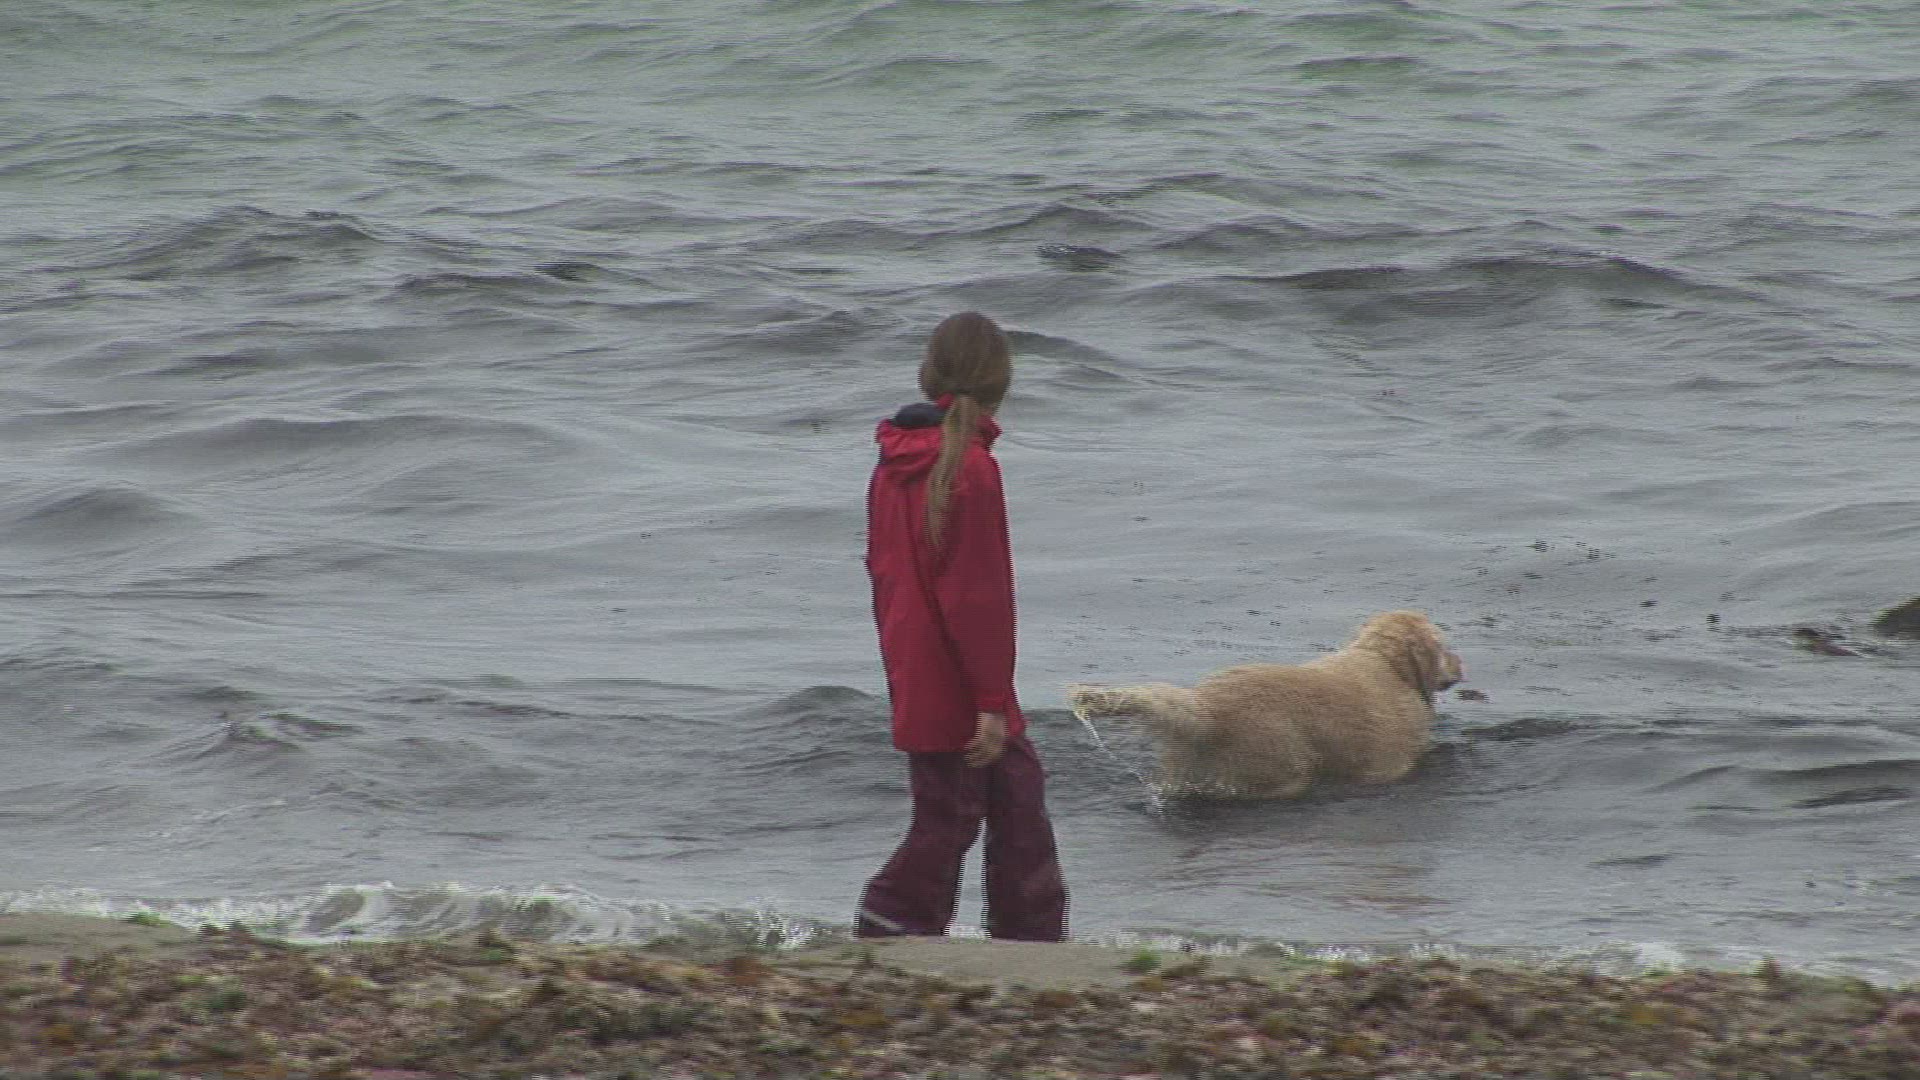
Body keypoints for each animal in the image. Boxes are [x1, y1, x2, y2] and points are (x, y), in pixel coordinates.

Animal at [1067, 610, 1462, 799]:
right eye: (1445, 646)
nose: (1461, 665)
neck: (1386, 662)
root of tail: (1204, 708)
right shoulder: (1387, 763)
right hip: (1280, 764)